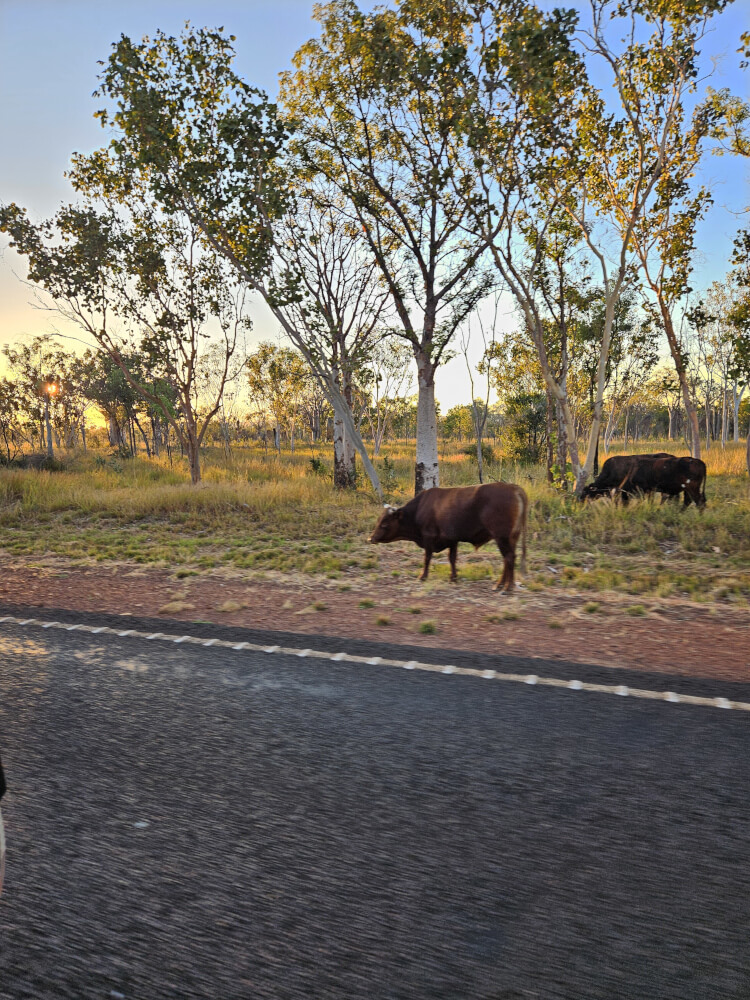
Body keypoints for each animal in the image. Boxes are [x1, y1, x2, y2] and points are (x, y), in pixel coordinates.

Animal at [369, 482, 528, 592]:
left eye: (384, 523)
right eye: (378, 520)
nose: (371, 538)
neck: (420, 508)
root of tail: (513, 487)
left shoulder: (429, 537)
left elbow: (427, 558)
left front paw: (423, 576)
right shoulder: (452, 540)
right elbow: (452, 559)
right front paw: (453, 578)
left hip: (502, 537)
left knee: (509, 557)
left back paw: (506, 587)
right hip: (511, 538)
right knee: (508, 559)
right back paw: (500, 585)